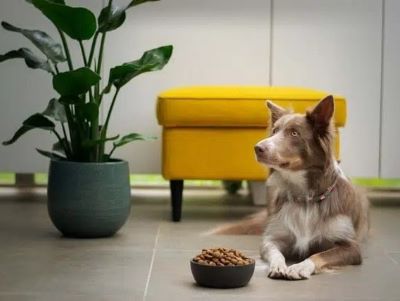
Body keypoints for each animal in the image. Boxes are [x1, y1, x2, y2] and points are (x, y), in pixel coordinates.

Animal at [212, 96, 368, 278]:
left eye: (294, 133)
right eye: (274, 131)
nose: (257, 148)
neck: (306, 199)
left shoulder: (351, 247)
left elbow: (318, 255)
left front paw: (300, 267)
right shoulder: (272, 238)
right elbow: (275, 252)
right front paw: (279, 266)